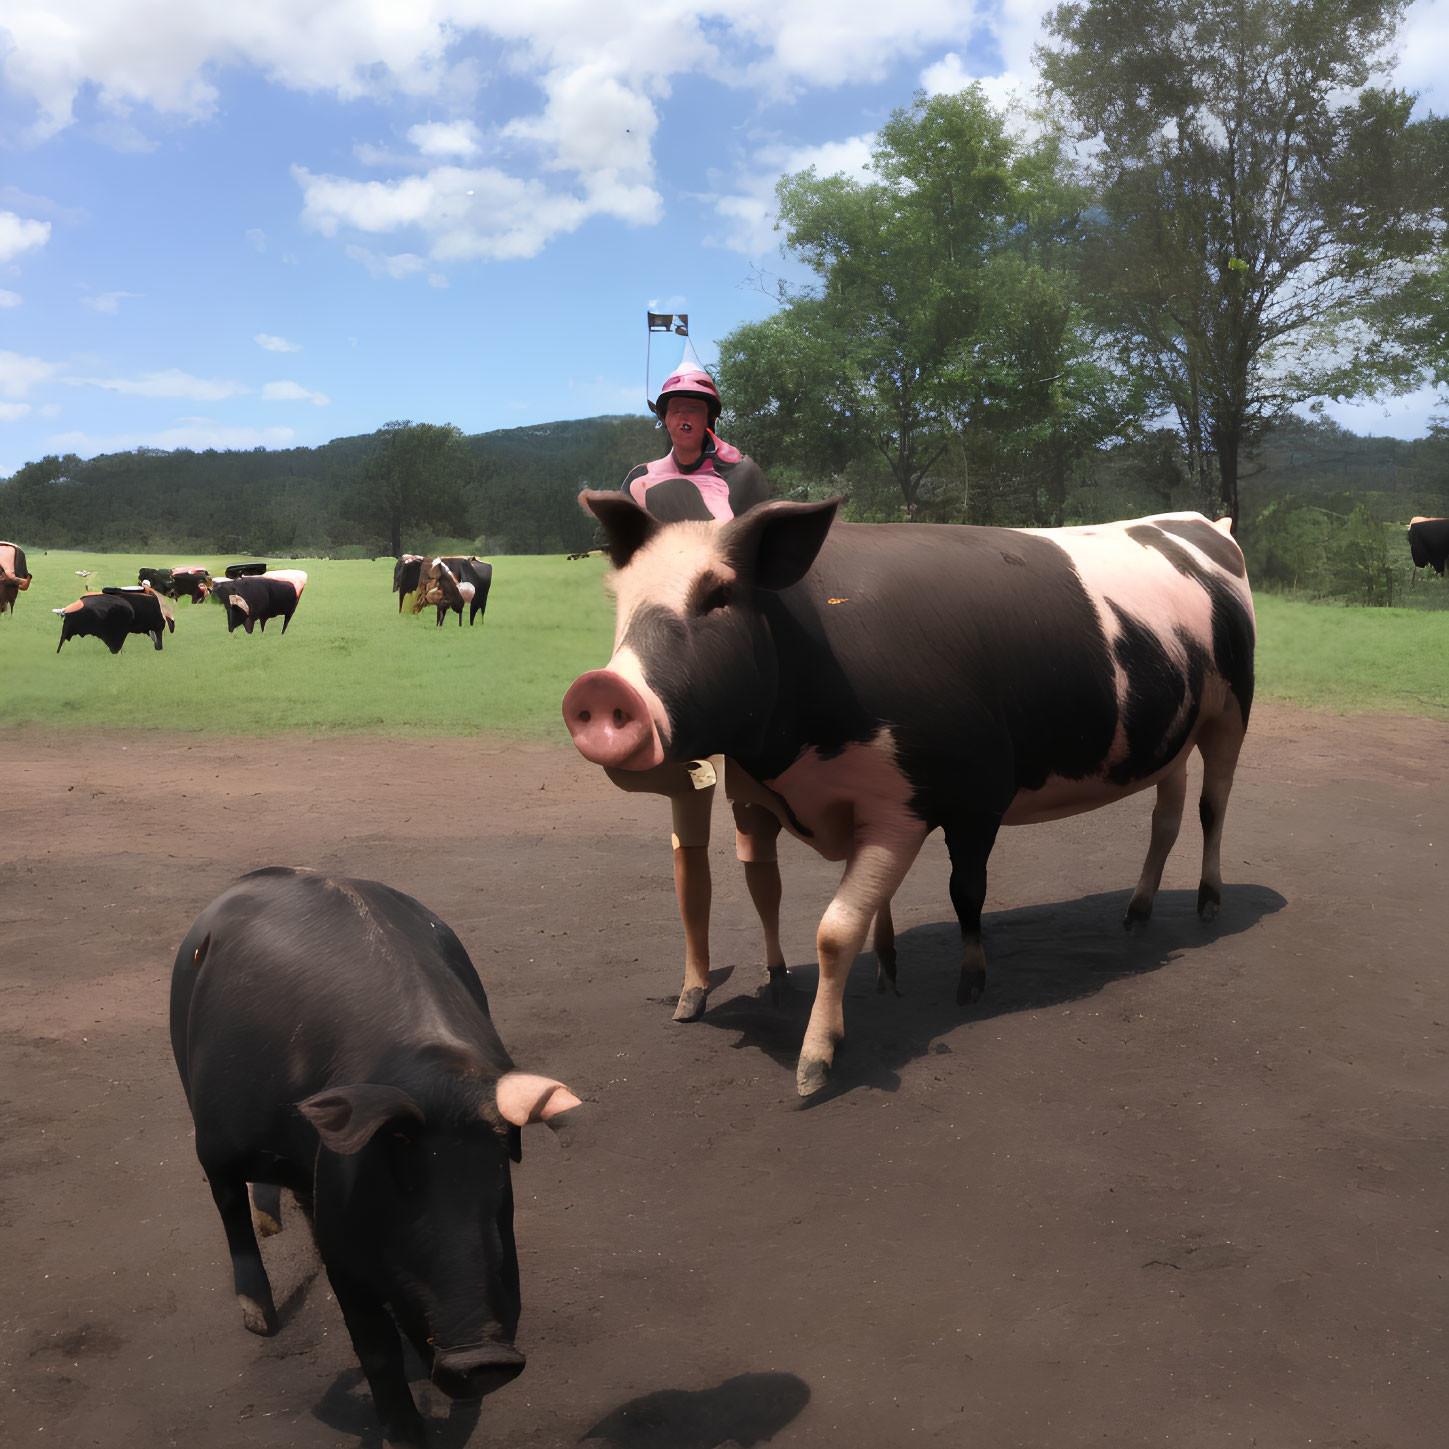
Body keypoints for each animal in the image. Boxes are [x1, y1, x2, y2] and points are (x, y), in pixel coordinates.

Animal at [169, 863, 576, 1443]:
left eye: (498, 1172)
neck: (433, 1073)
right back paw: (260, 1318)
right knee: (228, 1204)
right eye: (396, 1160)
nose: (483, 1358)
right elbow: (373, 1343)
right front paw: (404, 1438)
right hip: (208, 1128)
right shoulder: (344, 1243)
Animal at [565, 498, 1257, 1095]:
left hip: (1230, 711)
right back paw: (1137, 915)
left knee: (1213, 805)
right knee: (1166, 816)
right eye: (620, 598)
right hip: (1170, 734)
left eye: (719, 594)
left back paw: (1208, 904)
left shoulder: (961, 799)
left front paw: (825, 1060)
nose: (600, 688)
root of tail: (1205, 522)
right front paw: (885, 978)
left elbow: (877, 916)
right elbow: (868, 910)